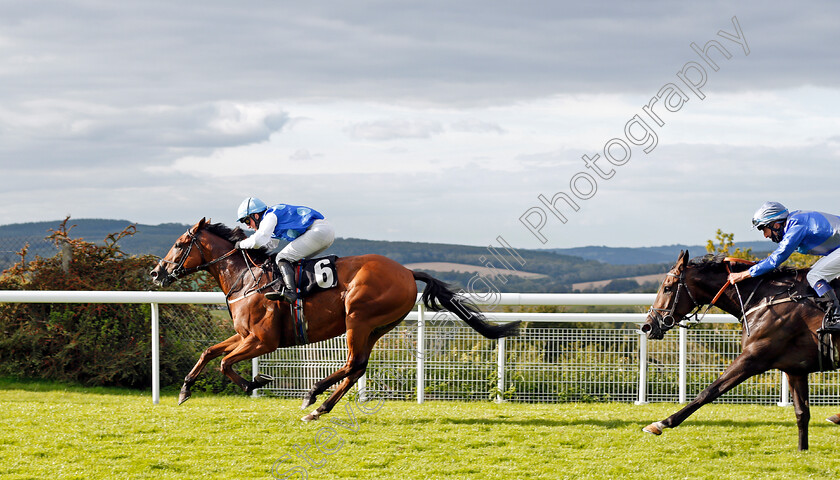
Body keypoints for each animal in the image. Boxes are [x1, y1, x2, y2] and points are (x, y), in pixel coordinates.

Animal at [150, 219, 520, 422]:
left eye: (180, 244)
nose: (156, 272)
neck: (247, 277)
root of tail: (407, 271)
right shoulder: (244, 335)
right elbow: (210, 352)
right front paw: (184, 389)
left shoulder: (263, 340)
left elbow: (225, 363)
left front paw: (256, 382)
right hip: (376, 327)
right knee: (357, 367)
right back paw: (319, 407)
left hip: (358, 317)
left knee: (353, 363)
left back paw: (312, 396)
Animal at [640, 251, 836, 450]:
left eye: (667, 288)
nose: (647, 326)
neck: (764, 299)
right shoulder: (795, 369)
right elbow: (802, 413)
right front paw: (802, 450)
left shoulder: (753, 357)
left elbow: (709, 391)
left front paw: (660, 424)